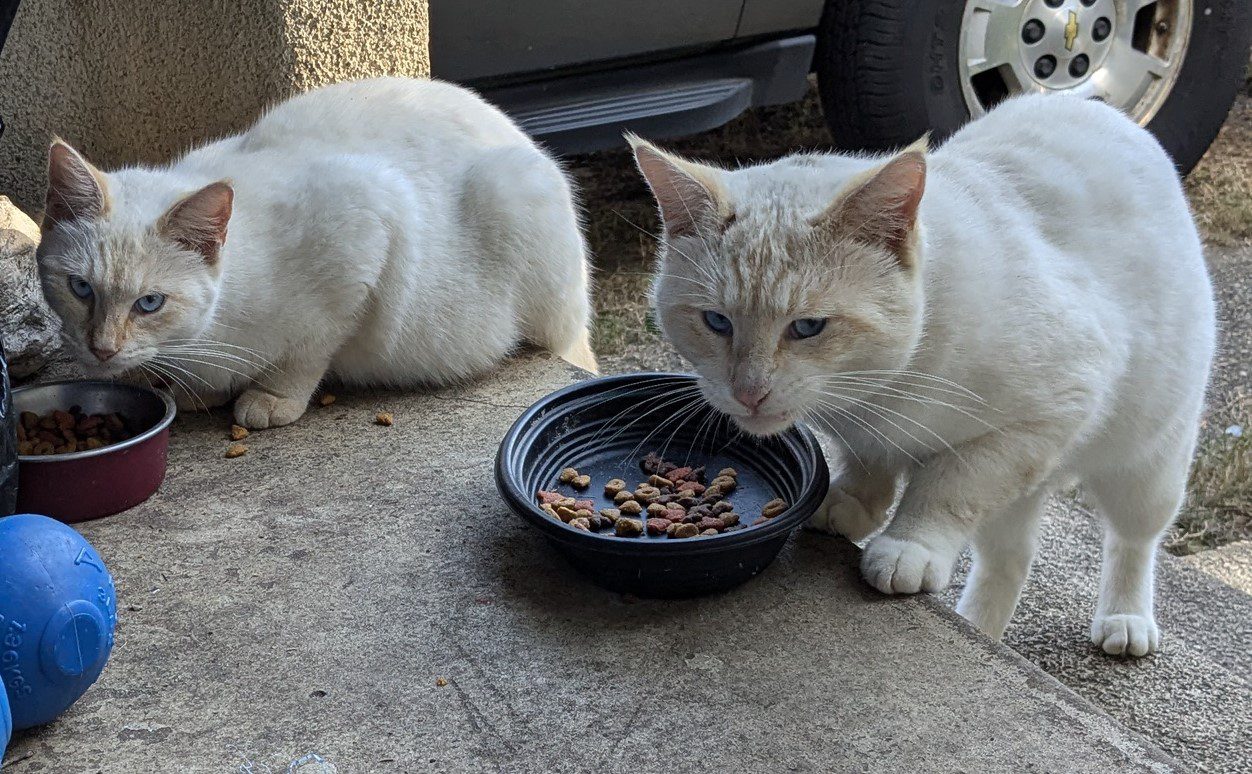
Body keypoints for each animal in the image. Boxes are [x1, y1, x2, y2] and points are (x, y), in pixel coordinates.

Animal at [34, 76, 590, 428]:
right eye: (80, 288)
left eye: (150, 303)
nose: (102, 350)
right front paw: (202, 393)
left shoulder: (366, 229)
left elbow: (307, 352)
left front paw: (268, 400)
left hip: (515, 191)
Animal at [636, 93, 1211, 656]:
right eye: (716, 321)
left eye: (807, 327)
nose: (748, 392)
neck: (885, 387)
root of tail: (1103, 108)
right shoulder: (877, 429)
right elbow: (869, 462)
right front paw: (851, 502)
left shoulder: (1044, 415)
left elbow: (949, 485)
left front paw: (907, 543)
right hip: (1027, 488)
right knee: (1011, 558)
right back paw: (978, 625)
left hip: (1144, 464)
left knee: (1133, 539)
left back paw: (1126, 618)